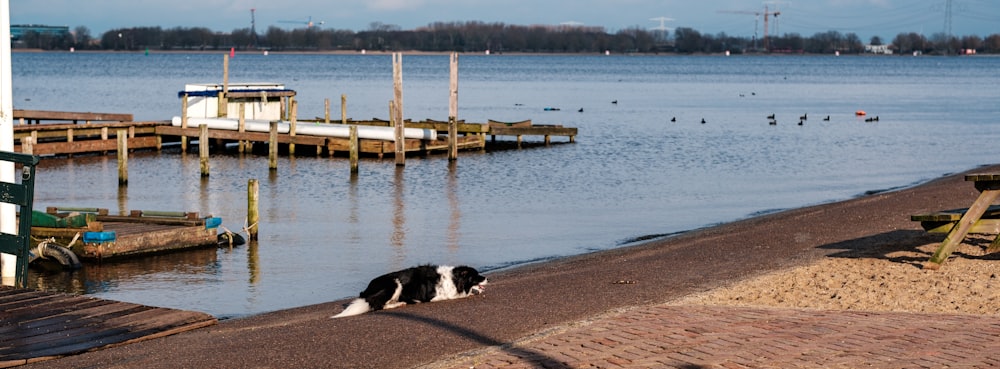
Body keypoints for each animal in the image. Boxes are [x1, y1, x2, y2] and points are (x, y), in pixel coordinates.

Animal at [332, 264, 488, 316]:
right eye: (476, 275)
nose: (488, 278)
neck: (455, 278)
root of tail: (366, 291)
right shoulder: (434, 296)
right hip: (394, 283)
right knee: (378, 305)